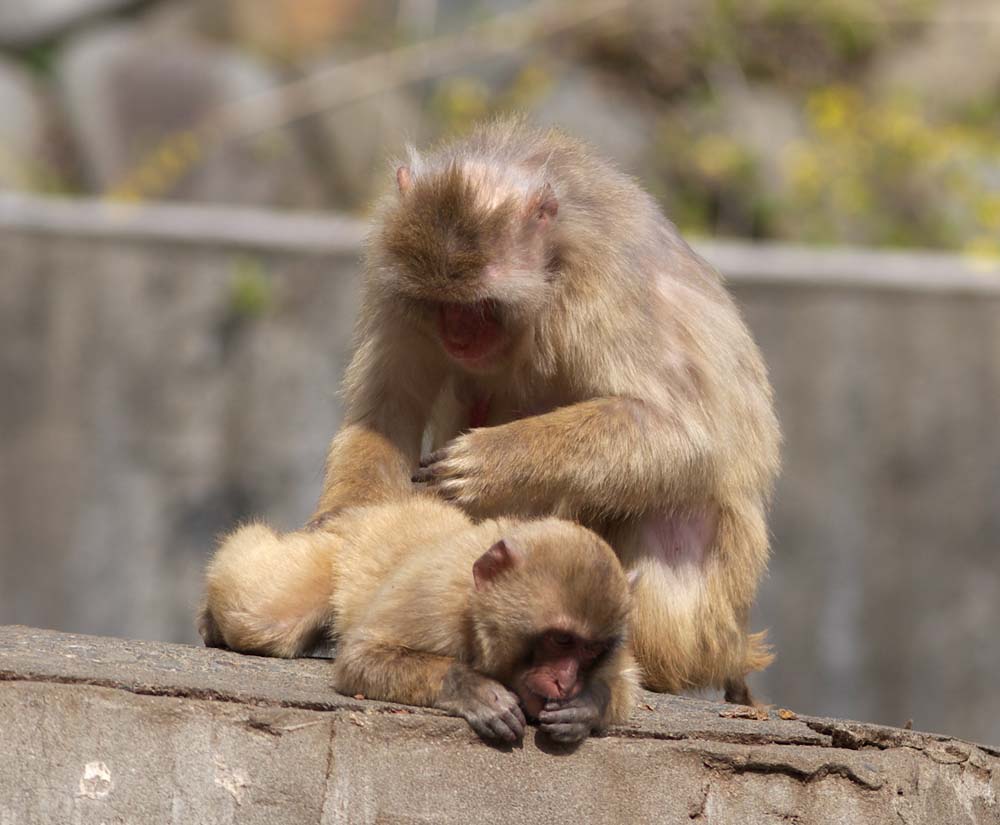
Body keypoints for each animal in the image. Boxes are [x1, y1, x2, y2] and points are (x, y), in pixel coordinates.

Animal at [200, 496, 636, 748]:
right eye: (561, 640)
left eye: (591, 650)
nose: (566, 681)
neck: (474, 607)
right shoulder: (434, 595)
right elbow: (361, 658)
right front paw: (470, 688)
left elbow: (625, 680)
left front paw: (585, 704)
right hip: (336, 551)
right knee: (260, 614)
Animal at [304, 117, 780, 700]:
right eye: (441, 305)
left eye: (481, 306)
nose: (458, 336)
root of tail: (730, 647)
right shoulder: (392, 275)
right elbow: (386, 412)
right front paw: (342, 530)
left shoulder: (605, 281)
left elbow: (685, 433)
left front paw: (488, 462)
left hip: (710, 614)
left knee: (673, 506)